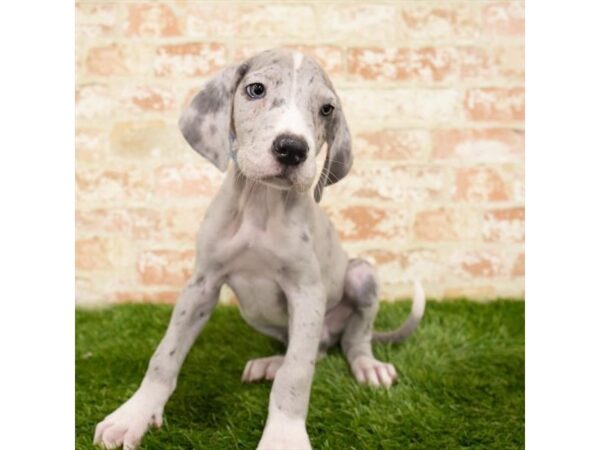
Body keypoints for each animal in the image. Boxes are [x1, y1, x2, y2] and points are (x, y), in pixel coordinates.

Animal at [94, 49, 424, 450]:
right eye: (256, 89)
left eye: (327, 109)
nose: (292, 149)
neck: (260, 205)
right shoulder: (201, 284)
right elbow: (165, 354)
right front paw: (134, 415)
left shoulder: (307, 292)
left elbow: (297, 374)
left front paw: (284, 435)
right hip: (254, 311)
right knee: (311, 348)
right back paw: (272, 362)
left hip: (361, 276)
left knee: (348, 341)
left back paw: (368, 366)